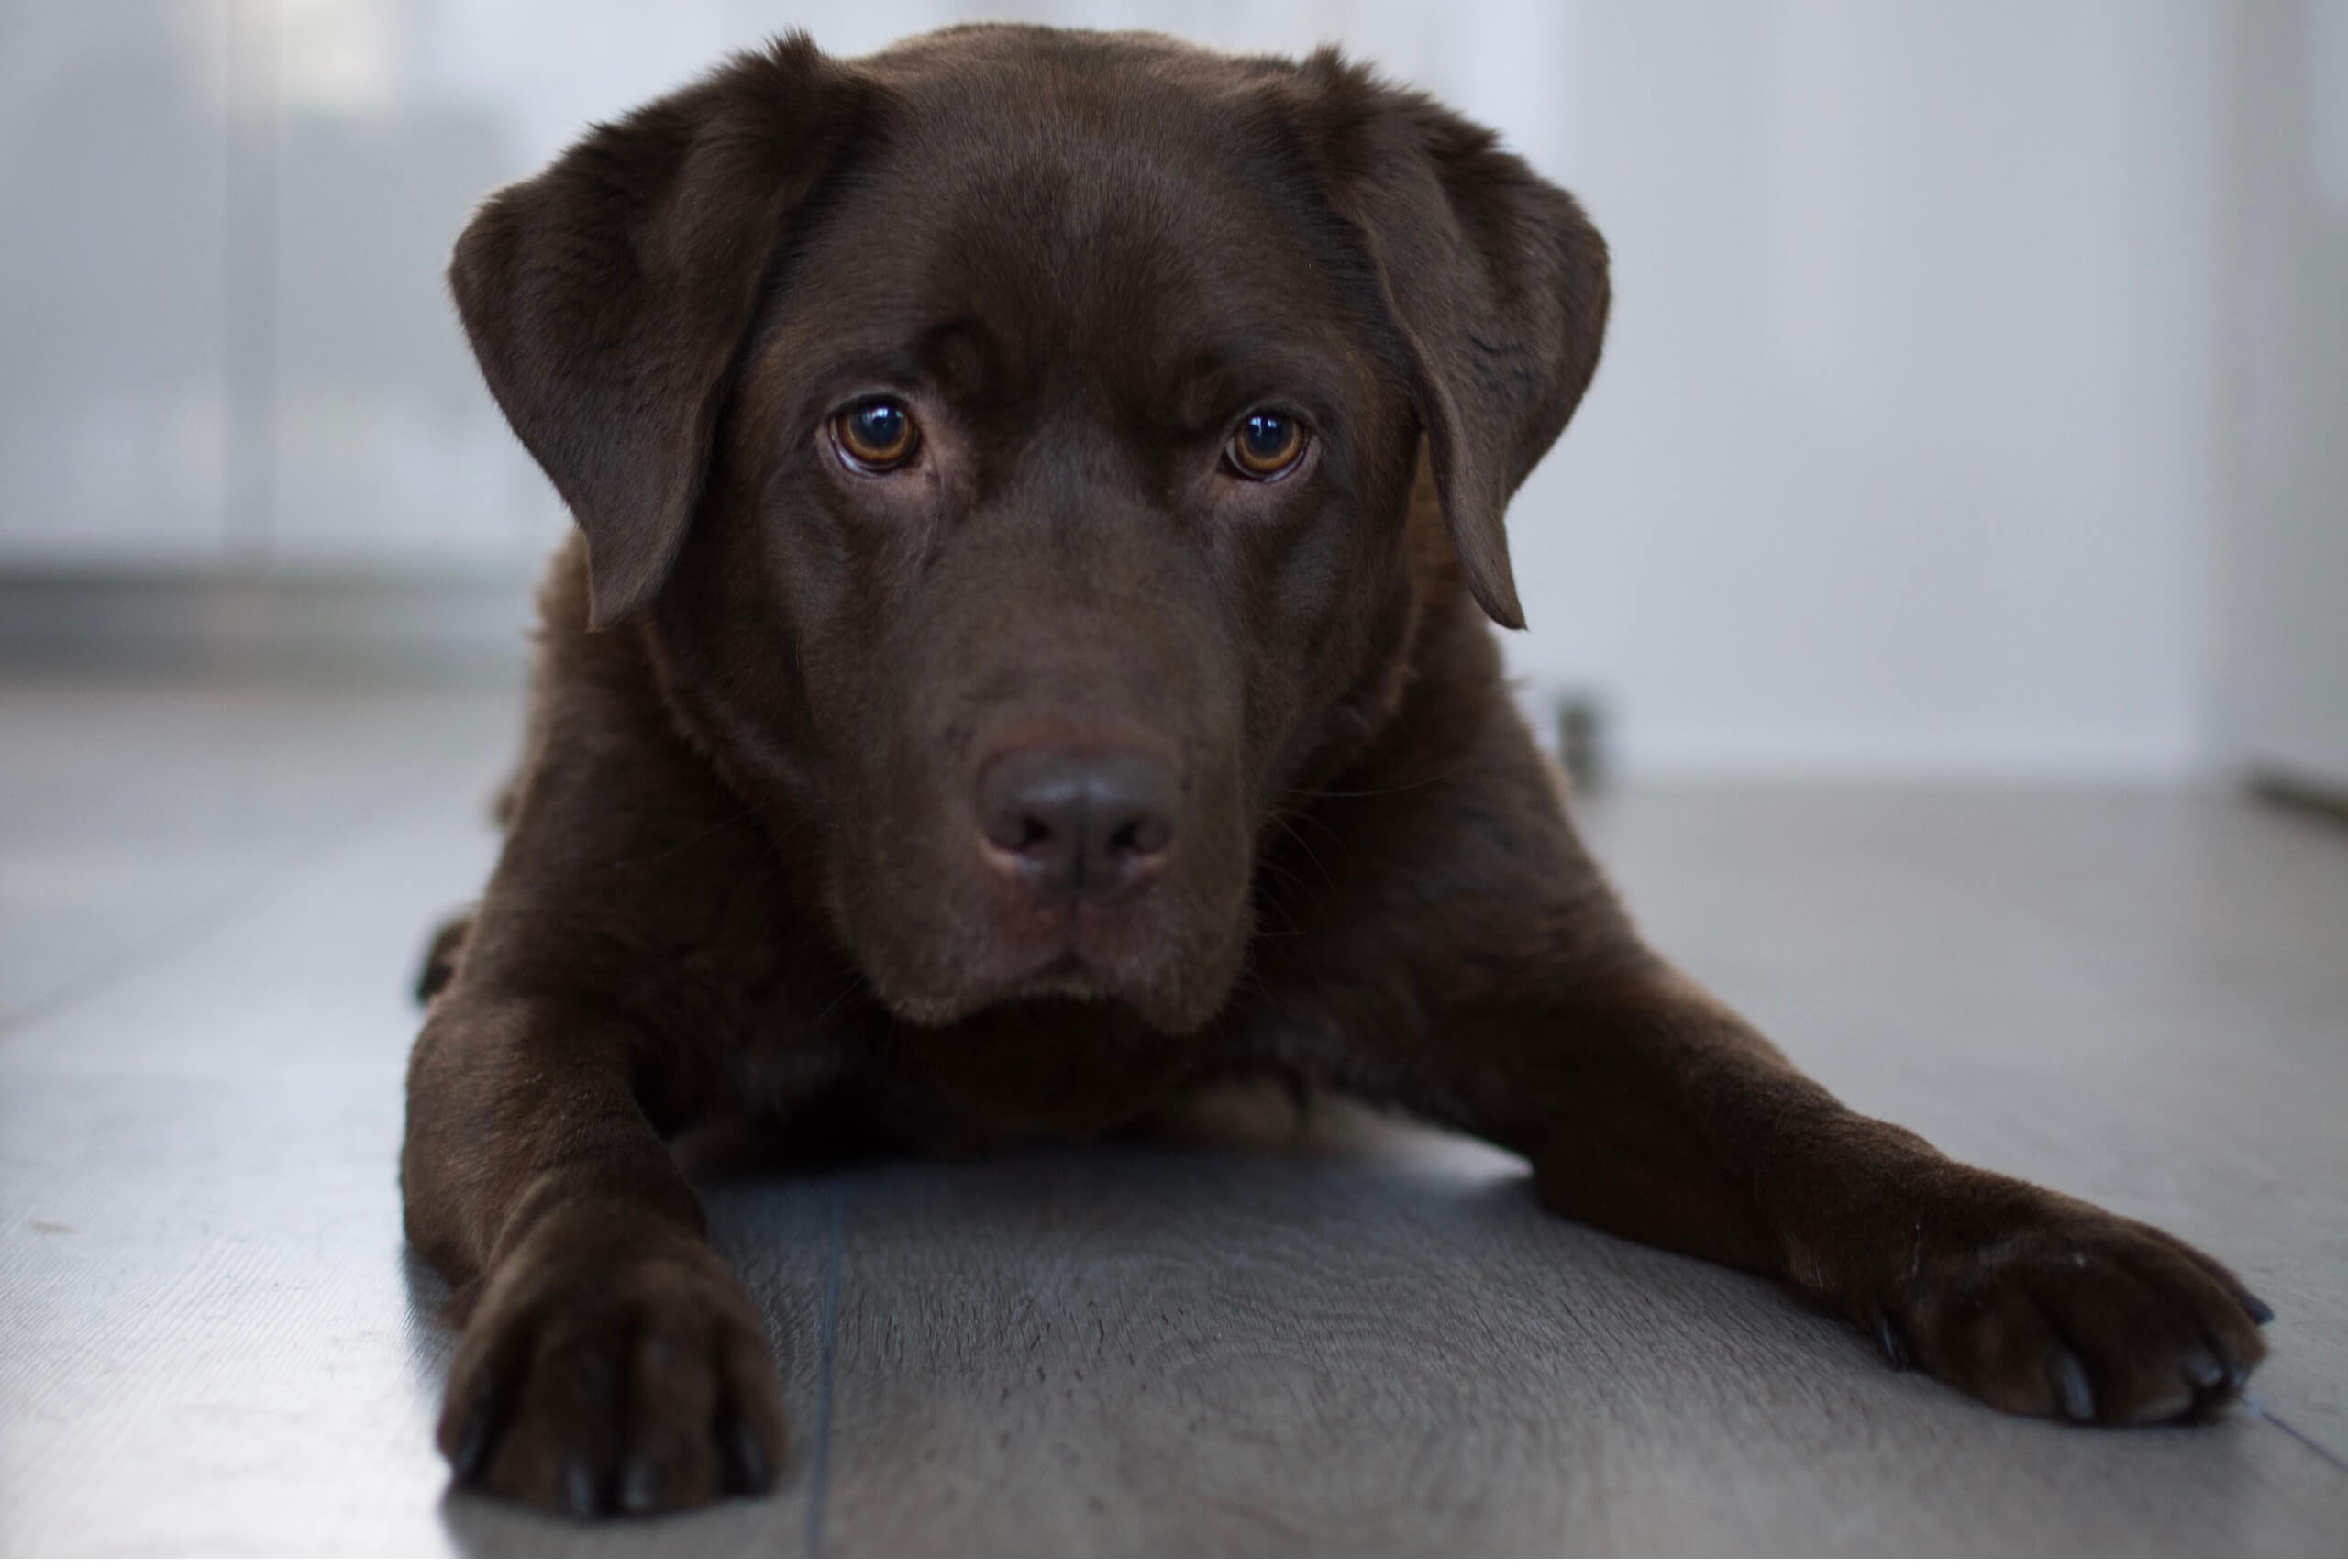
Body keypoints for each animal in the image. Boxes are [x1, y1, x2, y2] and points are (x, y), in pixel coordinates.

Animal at [408, 21, 2273, 1520]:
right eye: (876, 430)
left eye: (1264, 440)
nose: (1083, 825)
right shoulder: (549, 988)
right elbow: (578, 1139)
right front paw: (616, 1325)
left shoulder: (1554, 980)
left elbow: (1782, 1103)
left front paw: (2027, 1237)